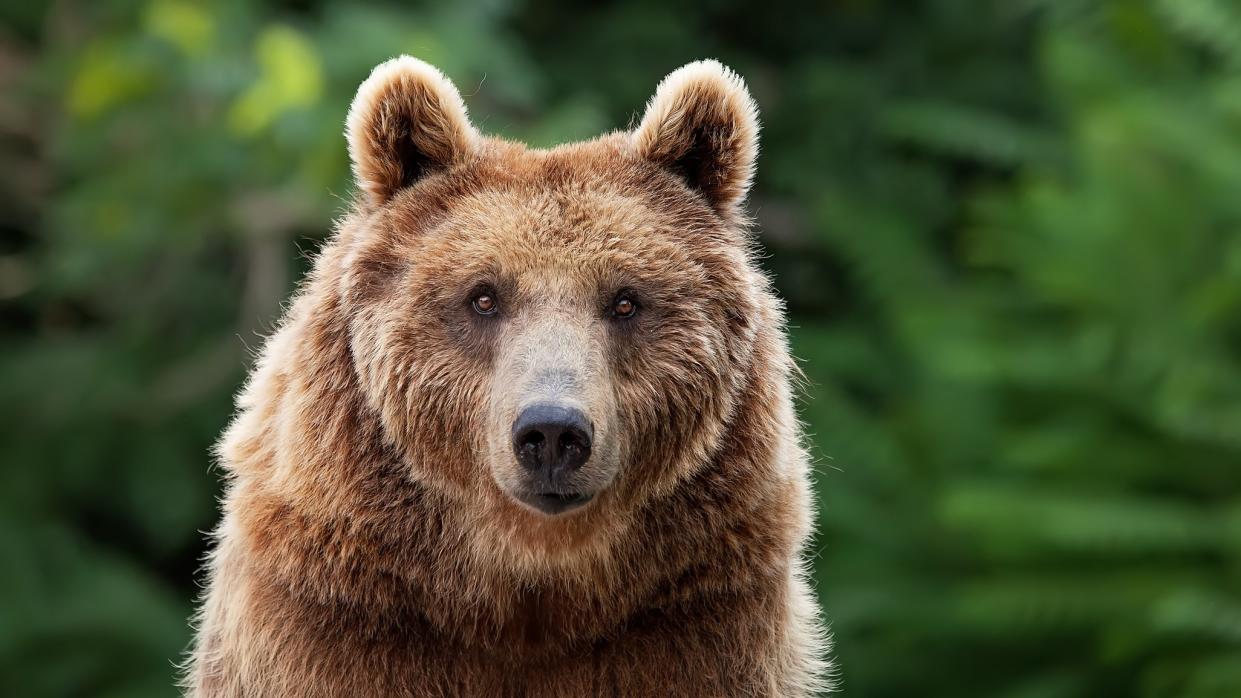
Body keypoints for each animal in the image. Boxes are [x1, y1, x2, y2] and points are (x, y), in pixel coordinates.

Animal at [183, 55, 833, 695]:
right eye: (484, 297)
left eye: (625, 301)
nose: (552, 431)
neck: (522, 577)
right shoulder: (330, 620)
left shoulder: (699, 620)